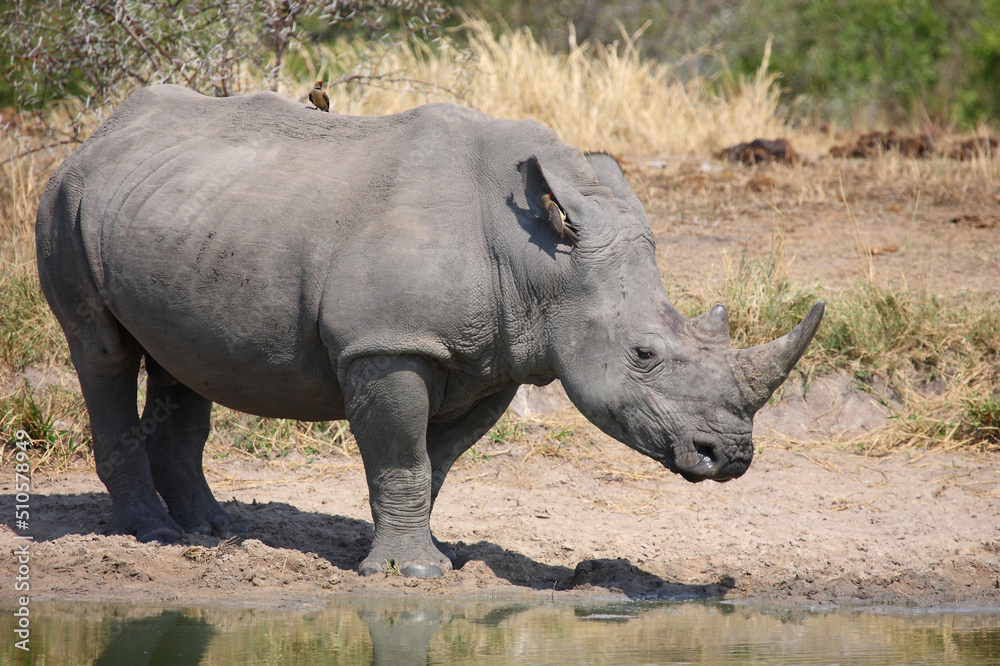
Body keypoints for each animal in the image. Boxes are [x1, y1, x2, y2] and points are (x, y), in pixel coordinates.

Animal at [36, 85, 823, 578]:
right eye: (644, 354)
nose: (732, 457)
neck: (540, 264)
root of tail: (100, 133)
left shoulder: (496, 357)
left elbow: (433, 463)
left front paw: (426, 552)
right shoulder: (389, 343)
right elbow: (402, 455)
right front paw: (410, 571)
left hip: (182, 212)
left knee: (180, 360)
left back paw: (209, 531)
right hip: (66, 198)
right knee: (101, 352)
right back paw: (155, 535)